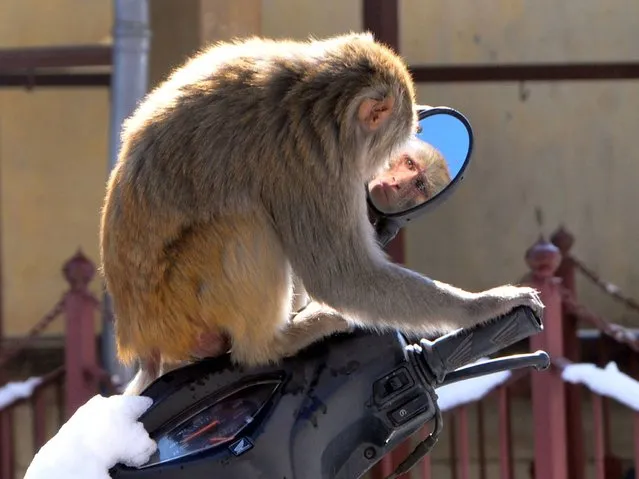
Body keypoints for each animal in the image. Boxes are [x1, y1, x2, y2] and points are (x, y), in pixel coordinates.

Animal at [100, 31, 544, 396]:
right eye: (402, 155)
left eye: (415, 177)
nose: (390, 178)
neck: (312, 94)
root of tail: (140, 340)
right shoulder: (311, 165)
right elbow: (341, 277)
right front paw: (485, 305)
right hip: (182, 305)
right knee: (246, 222)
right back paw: (271, 344)